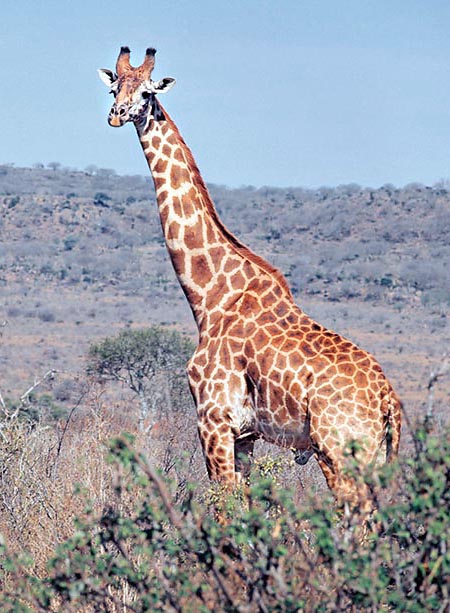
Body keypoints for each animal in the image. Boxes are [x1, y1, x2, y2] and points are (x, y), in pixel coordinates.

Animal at [98, 46, 400, 506]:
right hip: (373, 456)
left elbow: (223, 508)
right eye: (115, 88)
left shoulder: (213, 419)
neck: (210, 296)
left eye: (147, 92)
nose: (116, 115)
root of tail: (390, 402)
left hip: (340, 450)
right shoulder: (245, 436)